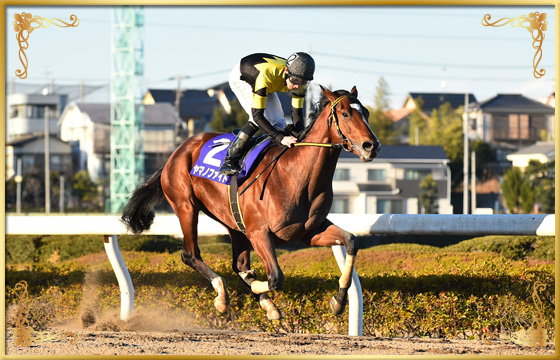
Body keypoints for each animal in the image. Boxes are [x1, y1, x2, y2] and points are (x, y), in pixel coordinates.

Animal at [122, 85, 380, 320]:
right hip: (186, 206)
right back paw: (223, 296)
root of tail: (177, 151)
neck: (295, 175)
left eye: (366, 112)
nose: (372, 146)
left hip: (233, 222)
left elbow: (351, 241)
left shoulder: (309, 231)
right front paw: (253, 284)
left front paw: (338, 301)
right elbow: (275, 277)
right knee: (191, 255)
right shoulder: (259, 232)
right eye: (345, 113)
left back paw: (265, 303)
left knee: (238, 263)